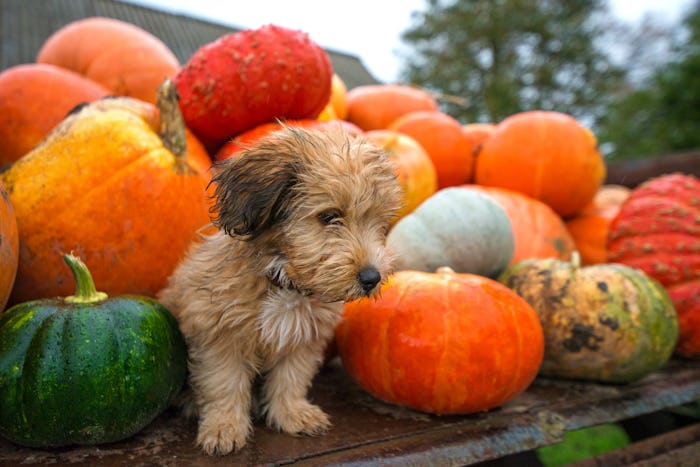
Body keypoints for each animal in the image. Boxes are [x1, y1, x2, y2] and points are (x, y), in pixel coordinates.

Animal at [157, 125, 402, 458]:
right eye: (329, 216)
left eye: (380, 222)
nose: (371, 277)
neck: (284, 281)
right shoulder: (220, 336)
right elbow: (224, 383)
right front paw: (224, 428)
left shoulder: (304, 338)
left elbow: (291, 378)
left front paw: (292, 413)